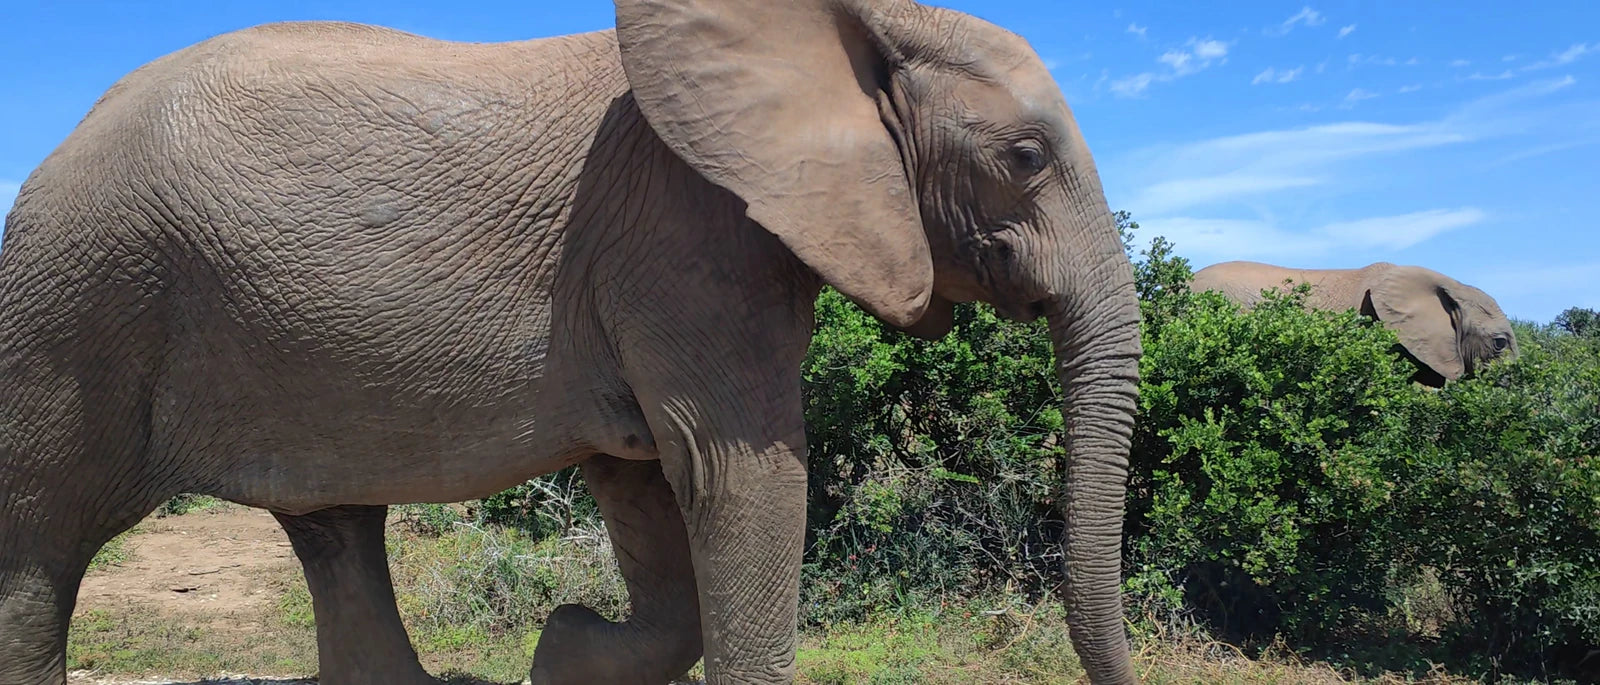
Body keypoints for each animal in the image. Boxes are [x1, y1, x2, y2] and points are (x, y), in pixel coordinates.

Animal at [0, 1, 1143, 683]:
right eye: (1026, 156)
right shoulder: (686, 242)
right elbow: (741, 476)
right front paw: (567, 639)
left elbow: (646, 485)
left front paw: (561, 646)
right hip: (76, 307)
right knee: (39, 551)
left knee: (335, 531)